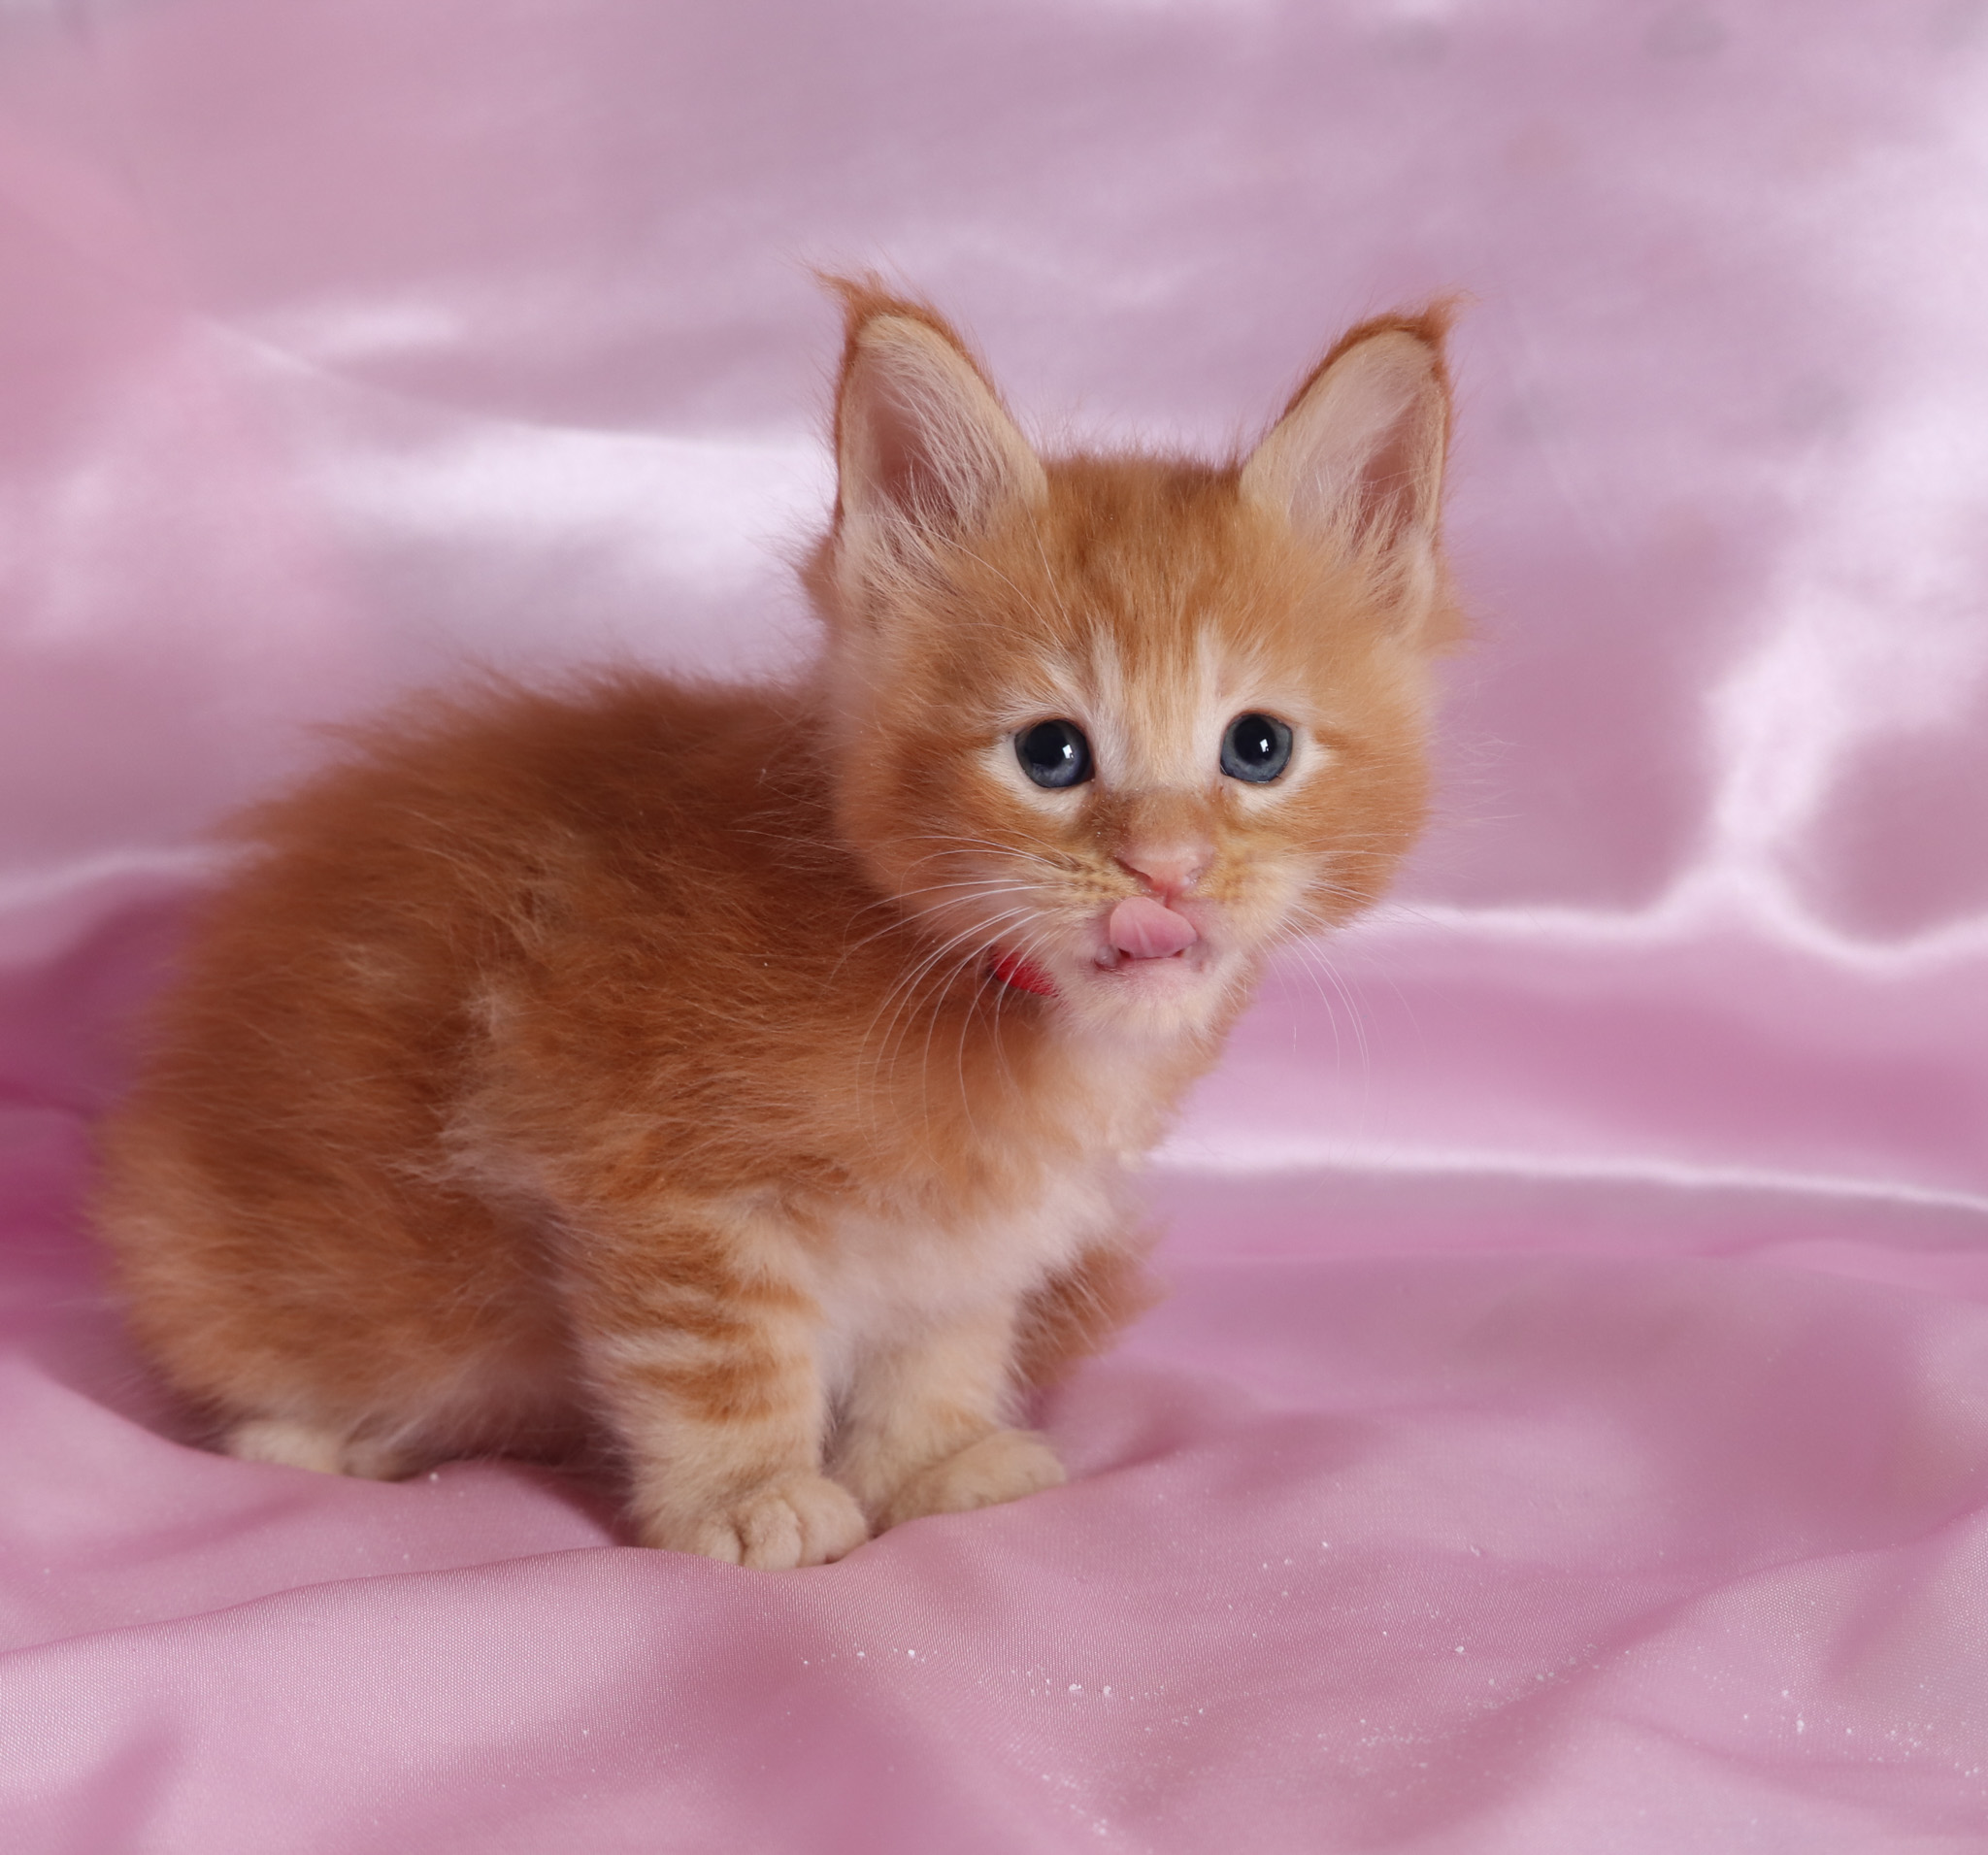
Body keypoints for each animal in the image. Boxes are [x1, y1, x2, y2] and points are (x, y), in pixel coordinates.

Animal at [94, 279, 1461, 1570]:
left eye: (1257, 748)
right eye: (1051, 754)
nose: (1165, 868)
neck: (999, 1011)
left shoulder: (972, 1228)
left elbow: (941, 1334)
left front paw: (930, 1461)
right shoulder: (637, 1157)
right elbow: (717, 1355)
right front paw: (747, 1497)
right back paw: (322, 1439)